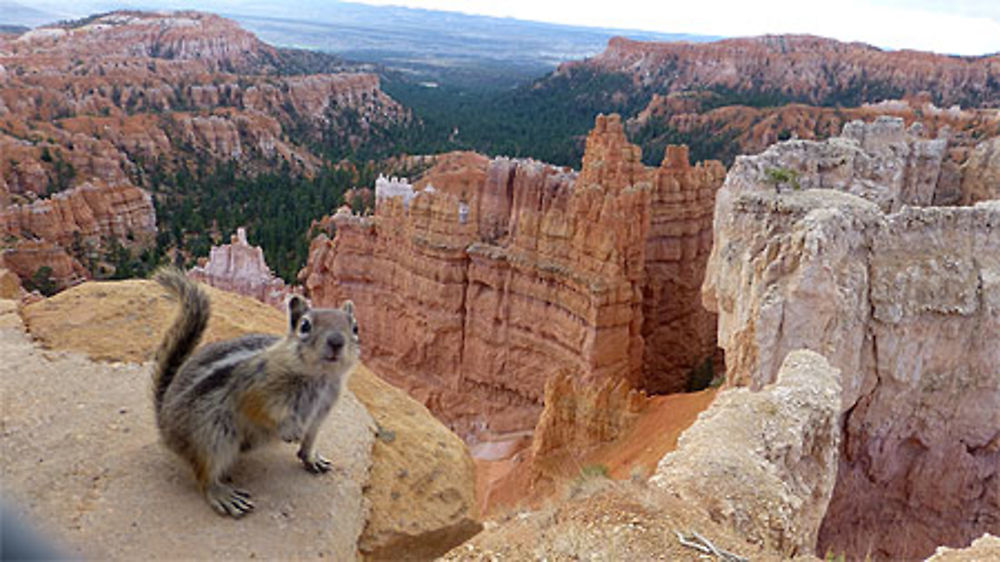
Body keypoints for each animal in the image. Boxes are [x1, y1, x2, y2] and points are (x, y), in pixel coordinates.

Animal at [151, 266, 360, 516]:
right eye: (305, 326)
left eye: (355, 327)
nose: (336, 342)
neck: (319, 377)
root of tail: (165, 426)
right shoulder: (256, 389)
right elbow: (261, 409)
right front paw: (289, 429)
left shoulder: (320, 413)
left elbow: (310, 438)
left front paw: (312, 458)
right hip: (211, 433)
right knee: (204, 474)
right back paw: (222, 494)